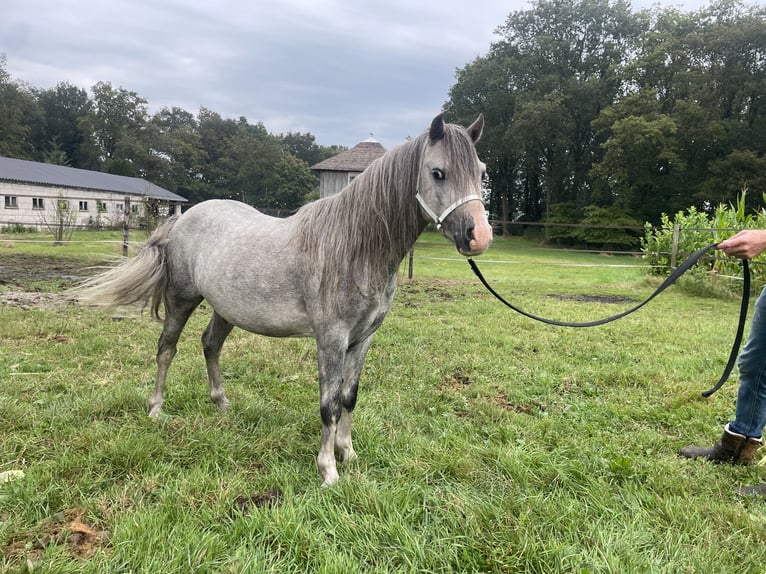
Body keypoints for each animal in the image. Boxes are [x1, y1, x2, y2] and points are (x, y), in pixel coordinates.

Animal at [78, 115, 496, 488]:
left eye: (480, 171)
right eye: (438, 172)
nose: (479, 236)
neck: (355, 247)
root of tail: (181, 219)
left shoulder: (364, 339)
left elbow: (349, 397)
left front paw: (349, 453)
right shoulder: (331, 338)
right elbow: (329, 403)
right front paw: (328, 470)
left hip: (225, 308)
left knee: (210, 345)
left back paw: (222, 404)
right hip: (182, 299)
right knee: (167, 348)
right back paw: (156, 409)